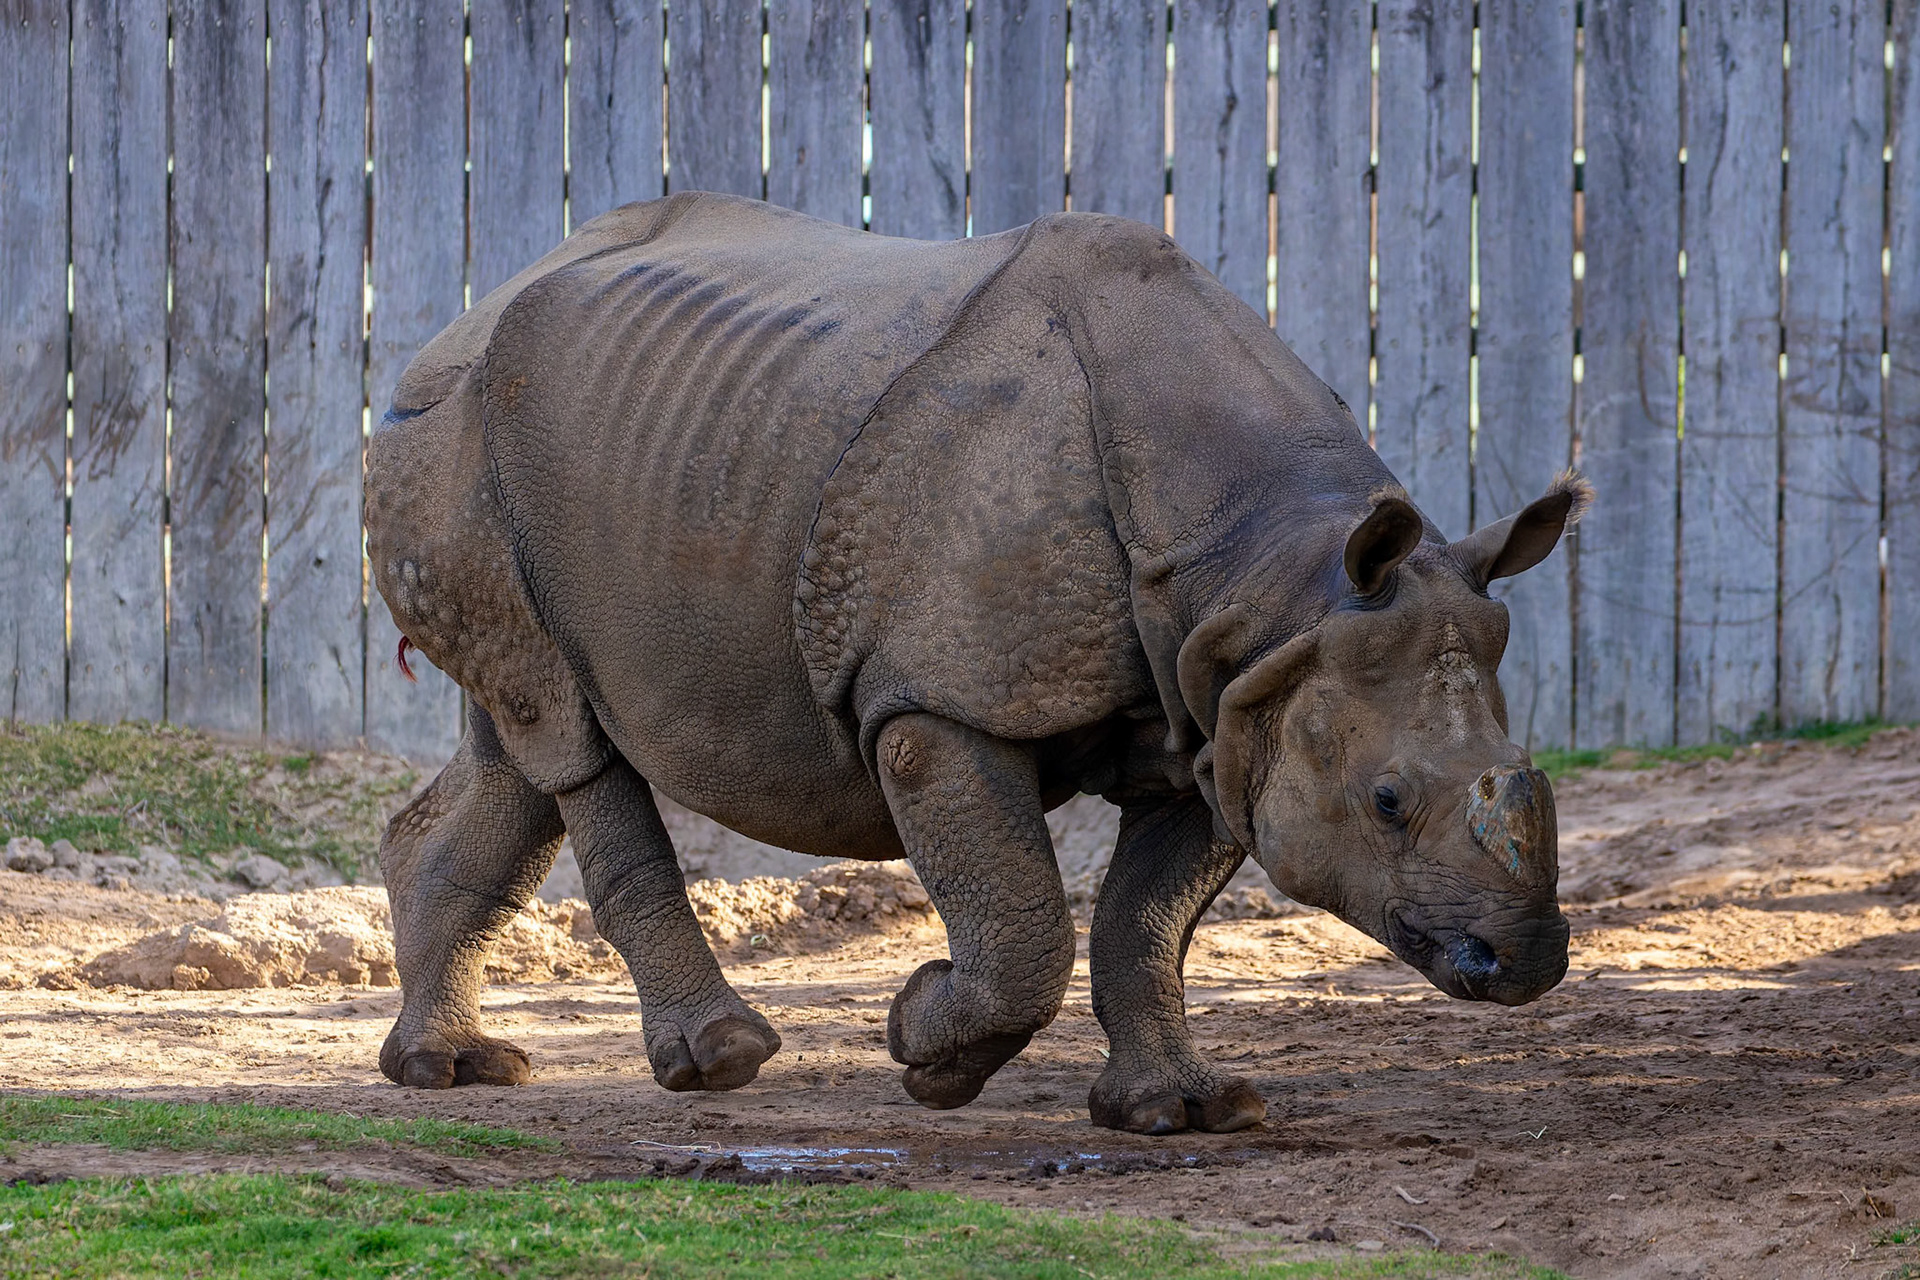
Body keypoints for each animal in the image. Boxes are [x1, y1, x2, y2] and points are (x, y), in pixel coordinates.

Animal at [367, 192, 1581, 1134]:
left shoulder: (1230, 697)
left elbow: (1146, 920)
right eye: (1386, 802)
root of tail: (465, 312)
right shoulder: (939, 698)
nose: (1524, 959)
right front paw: (924, 1042)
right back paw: (720, 1061)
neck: (1272, 565)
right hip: (457, 434)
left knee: (523, 741)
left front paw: (1181, 1112)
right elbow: (1024, 925)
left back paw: (446, 1071)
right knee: (568, 734)